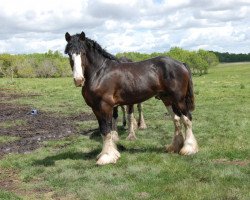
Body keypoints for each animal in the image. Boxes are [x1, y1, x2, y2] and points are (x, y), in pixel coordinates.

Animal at [65, 31, 199, 166]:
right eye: (69, 54)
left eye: (82, 53)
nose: (78, 80)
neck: (100, 73)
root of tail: (181, 64)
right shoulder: (96, 109)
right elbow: (103, 130)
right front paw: (109, 154)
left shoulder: (105, 106)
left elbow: (107, 130)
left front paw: (107, 157)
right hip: (167, 99)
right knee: (176, 119)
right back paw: (174, 147)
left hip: (179, 100)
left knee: (187, 119)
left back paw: (188, 148)